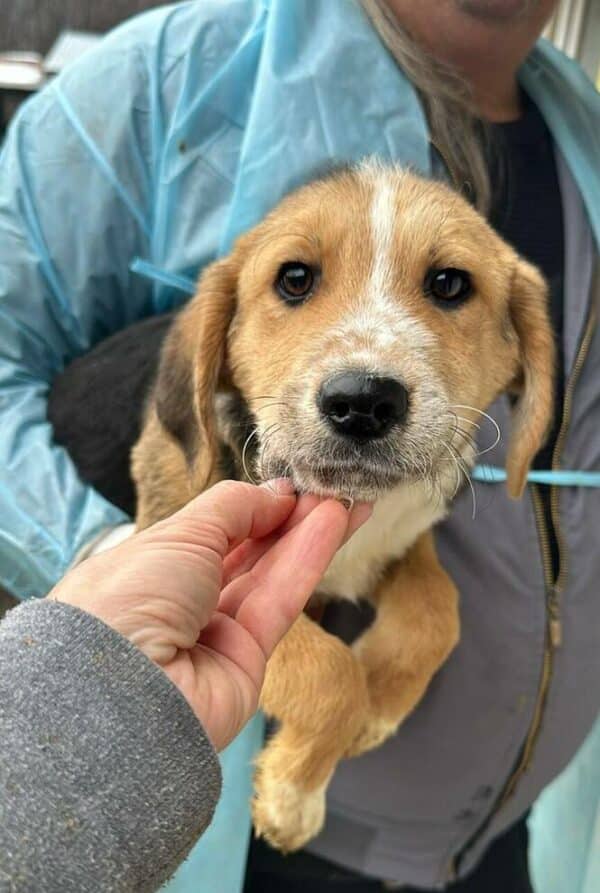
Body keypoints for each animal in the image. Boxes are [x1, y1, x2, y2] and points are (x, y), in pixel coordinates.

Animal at [131, 160, 552, 852]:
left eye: (449, 283)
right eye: (295, 278)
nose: (363, 402)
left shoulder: (406, 540)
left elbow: (437, 614)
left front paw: (379, 706)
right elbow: (328, 674)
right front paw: (293, 796)